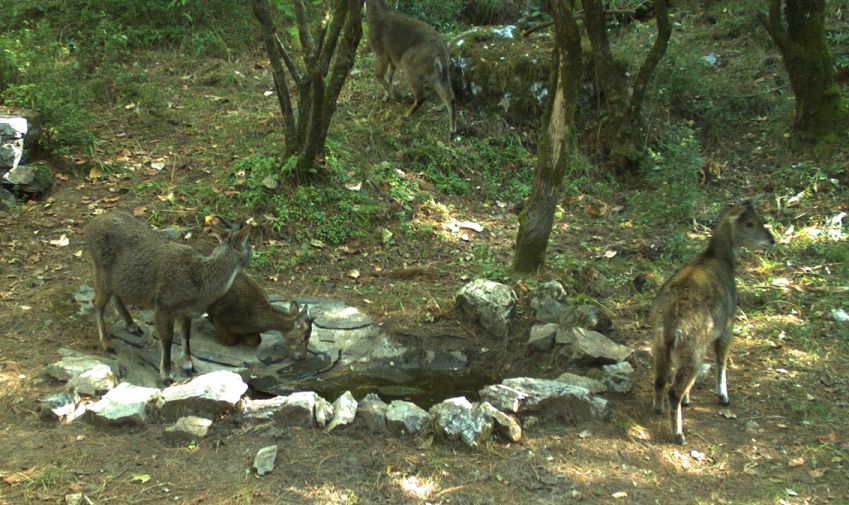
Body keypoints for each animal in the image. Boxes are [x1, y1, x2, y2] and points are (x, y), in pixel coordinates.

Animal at [85, 211, 252, 384]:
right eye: (250, 242)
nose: (252, 255)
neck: (200, 282)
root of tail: (89, 226)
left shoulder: (185, 311)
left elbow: (186, 335)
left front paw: (188, 366)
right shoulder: (163, 305)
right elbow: (167, 338)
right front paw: (166, 375)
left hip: (117, 278)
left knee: (116, 294)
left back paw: (132, 326)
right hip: (101, 270)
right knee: (97, 303)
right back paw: (107, 345)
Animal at [364, 0, 458, 139]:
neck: (373, 16)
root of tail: (440, 56)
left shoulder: (382, 52)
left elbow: (379, 75)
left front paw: (393, 95)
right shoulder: (392, 59)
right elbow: (389, 77)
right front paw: (387, 96)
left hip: (410, 66)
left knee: (422, 96)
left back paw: (406, 115)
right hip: (439, 76)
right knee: (450, 97)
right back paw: (452, 130)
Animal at [648, 199, 776, 442]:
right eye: (749, 222)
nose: (771, 240)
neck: (719, 259)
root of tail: (670, 327)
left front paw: (690, 400)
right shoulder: (727, 324)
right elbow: (721, 360)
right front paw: (723, 396)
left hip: (659, 345)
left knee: (660, 378)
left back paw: (659, 408)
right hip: (693, 350)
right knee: (674, 389)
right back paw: (679, 434)